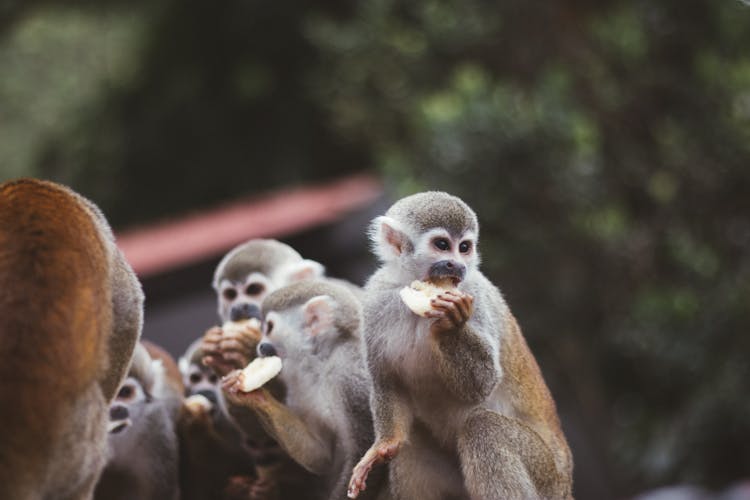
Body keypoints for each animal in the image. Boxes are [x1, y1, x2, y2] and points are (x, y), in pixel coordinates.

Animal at [348, 191, 576, 500]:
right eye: (443, 245)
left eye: (465, 247)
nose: (457, 265)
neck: (415, 283)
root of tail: (565, 483)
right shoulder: (375, 299)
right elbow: (386, 379)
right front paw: (384, 445)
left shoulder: (475, 294)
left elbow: (484, 382)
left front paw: (452, 325)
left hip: (546, 476)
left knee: (485, 428)